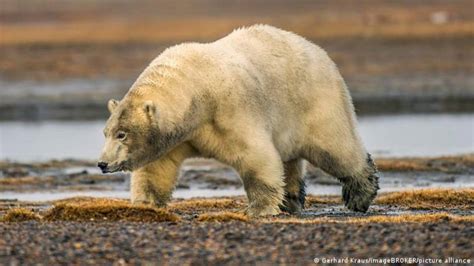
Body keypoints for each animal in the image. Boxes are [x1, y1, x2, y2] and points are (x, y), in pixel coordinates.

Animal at [98, 23, 380, 217]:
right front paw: (145, 203)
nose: (102, 163)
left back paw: (360, 195)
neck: (195, 89)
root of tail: (317, 50)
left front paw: (258, 209)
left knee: (335, 149)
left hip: (315, 101)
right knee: (290, 160)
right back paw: (290, 200)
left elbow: (255, 156)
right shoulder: (178, 135)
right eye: (107, 132)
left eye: (122, 133)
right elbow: (156, 168)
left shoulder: (229, 110)